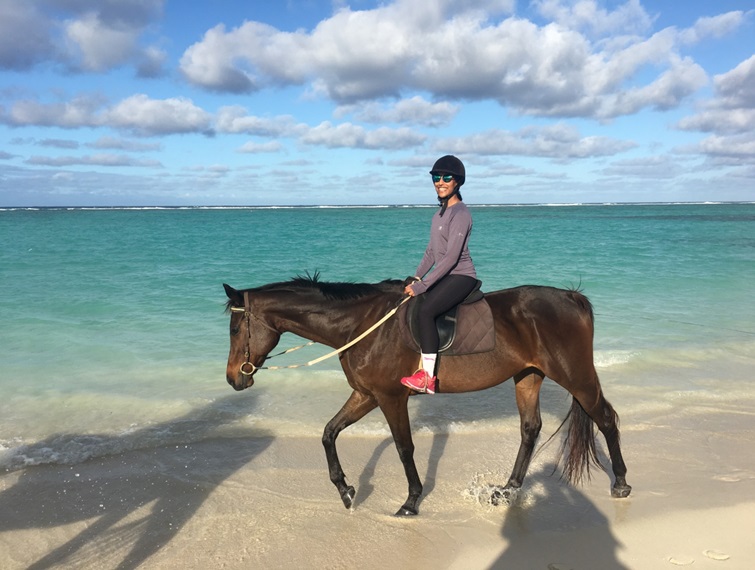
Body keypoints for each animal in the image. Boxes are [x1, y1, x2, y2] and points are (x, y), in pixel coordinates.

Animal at [223, 276, 632, 516]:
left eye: (234, 328)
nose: (233, 379)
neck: (361, 324)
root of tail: (572, 297)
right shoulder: (366, 394)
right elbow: (328, 433)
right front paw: (346, 490)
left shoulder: (390, 397)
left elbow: (404, 448)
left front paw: (411, 500)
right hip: (528, 376)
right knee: (530, 429)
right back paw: (507, 490)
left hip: (575, 375)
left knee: (605, 418)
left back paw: (621, 483)